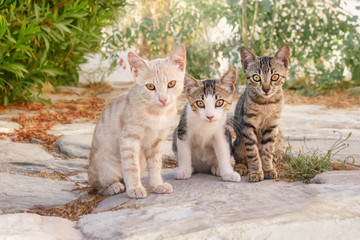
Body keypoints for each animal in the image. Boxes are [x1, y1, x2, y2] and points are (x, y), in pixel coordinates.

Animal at [88, 44, 187, 198]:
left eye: (171, 84)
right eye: (150, 86)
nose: (163, 99)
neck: (157, 114)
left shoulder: (157, 141)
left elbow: (156, 164)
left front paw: (157, 185)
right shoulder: (129, 139)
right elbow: (132, 166)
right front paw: (135, 188)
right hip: (104, 168)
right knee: (97, 185)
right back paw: (114, 186)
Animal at [233, 44, 290, 182]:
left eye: (275, 76)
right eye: (256, 77)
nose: (266, 89)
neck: (266, 104)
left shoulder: (272, 126)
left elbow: (267, 151)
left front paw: (268, 169)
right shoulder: (248, 126)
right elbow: (253, 153)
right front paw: (256, 172)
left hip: (280, 142)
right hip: (237, 142)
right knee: (240, 157)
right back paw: (241, 167)